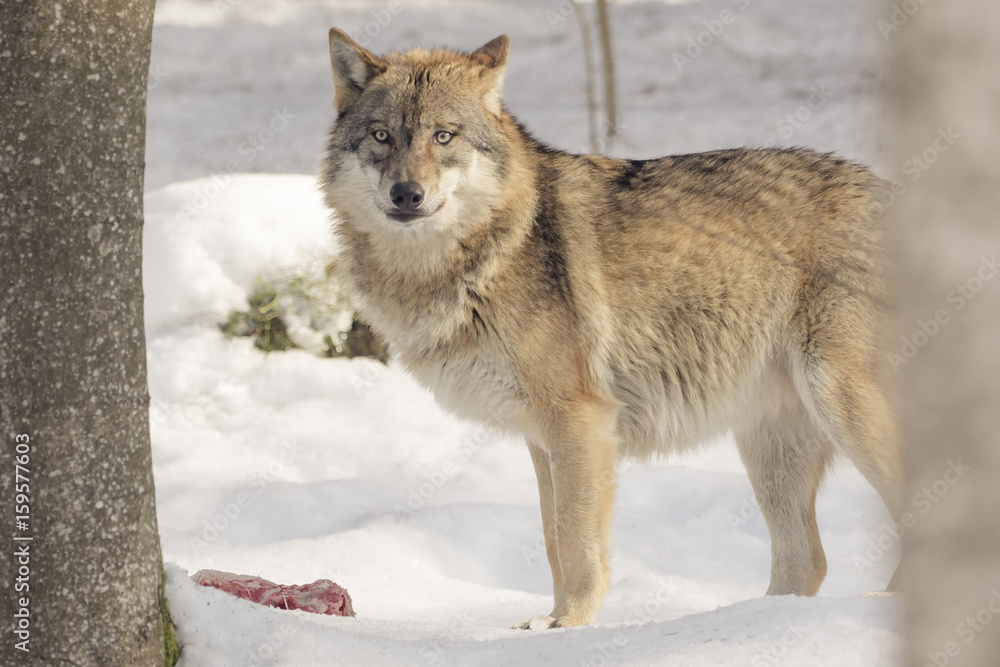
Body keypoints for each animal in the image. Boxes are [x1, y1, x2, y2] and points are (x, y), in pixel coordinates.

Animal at [320, 30, 901, 629]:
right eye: (382, 136)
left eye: (443, 136)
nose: (405, 194)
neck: (474, 260)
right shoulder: (542, 440)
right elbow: (552, 542)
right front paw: (547, 627)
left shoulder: (581, 424)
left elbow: (576, 543)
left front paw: (569, 626)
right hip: (770, 447)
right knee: (807, 561)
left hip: (841, 403)